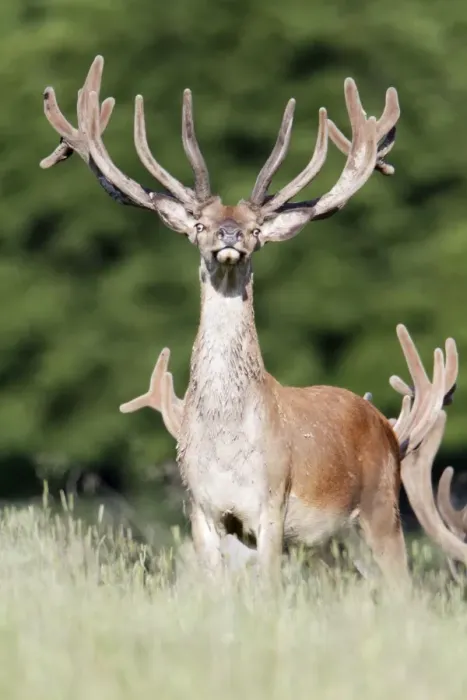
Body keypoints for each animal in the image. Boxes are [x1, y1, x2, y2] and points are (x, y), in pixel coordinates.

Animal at [41, 54, 442, 587]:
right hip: (336, 543)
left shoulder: (270, 503)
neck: (226, 442)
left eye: (254, 229)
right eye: (199, 225)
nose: (230, 234)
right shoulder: (202, 508)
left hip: (383, 510)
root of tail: (387, 427)